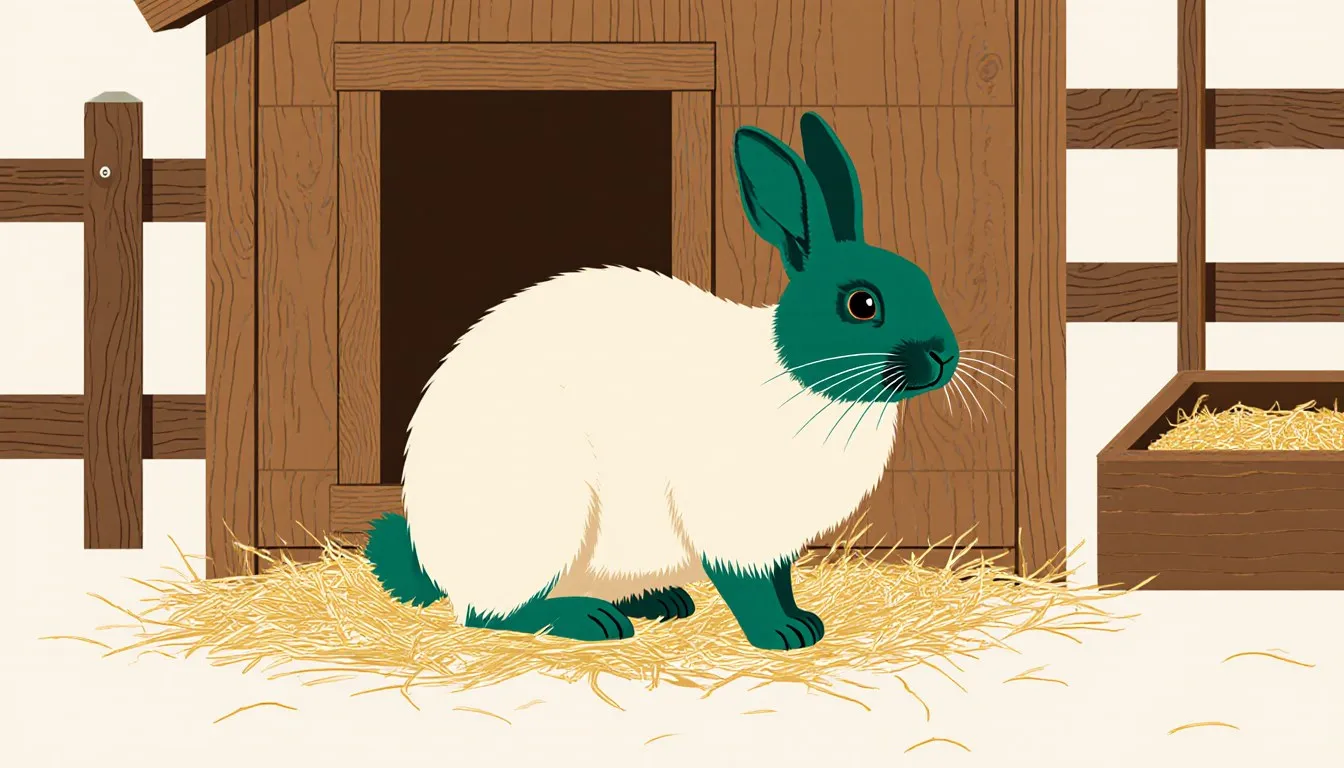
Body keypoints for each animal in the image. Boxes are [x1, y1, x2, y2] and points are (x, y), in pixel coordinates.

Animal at [364, 111, 959, 651]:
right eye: (862, 304)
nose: (944, 357)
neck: (798, 381)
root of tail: (437, 562)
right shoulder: (729, 522)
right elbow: (749, 587)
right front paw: (782, 636)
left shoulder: (775, 540)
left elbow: (782, 582)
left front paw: (804, 622)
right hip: (543, 521)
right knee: (491, 615)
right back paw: (590, 621)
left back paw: (662, 602)